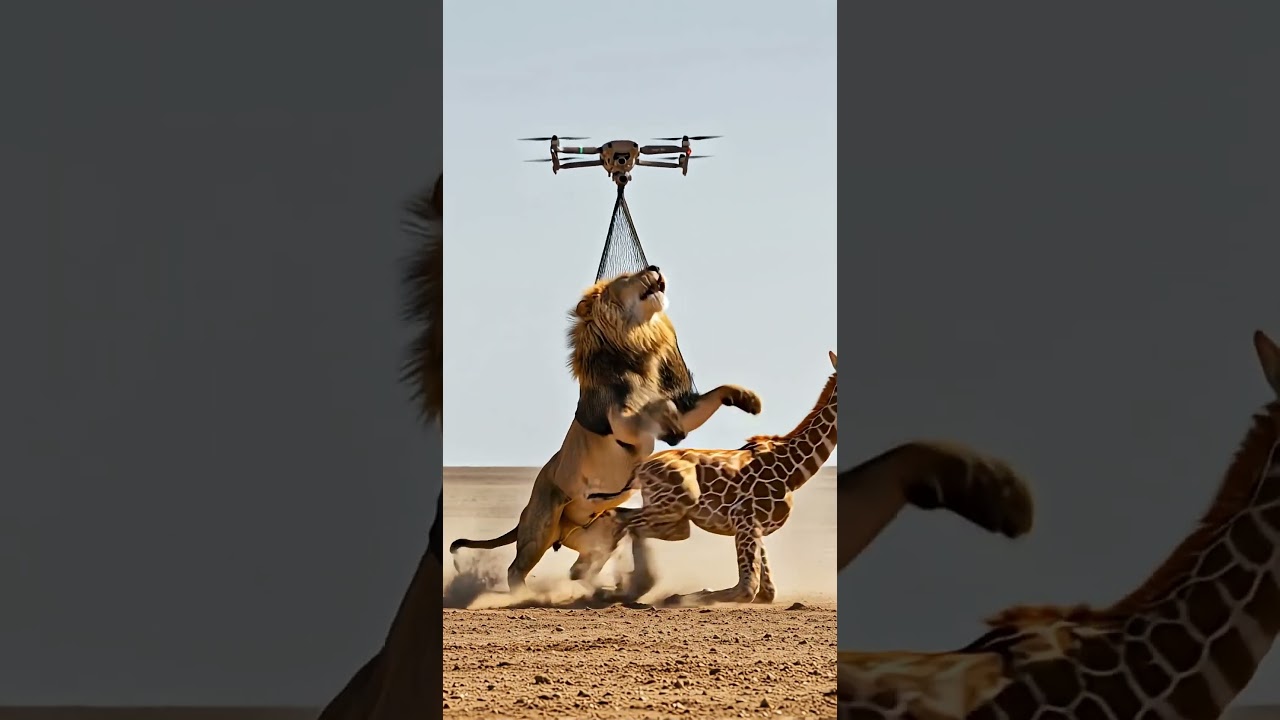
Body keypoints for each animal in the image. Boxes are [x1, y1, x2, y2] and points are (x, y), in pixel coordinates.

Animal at [449, 265, 763, 592]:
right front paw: (671, 423)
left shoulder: (681, 412)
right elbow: (656, 409)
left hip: (599, 531)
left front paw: (748, 399)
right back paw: (524, 594)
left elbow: (713, 394)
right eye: (625, 278)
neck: (636, 349)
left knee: (578, 568)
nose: (654, 268)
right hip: (541, 527)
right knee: (515, 569)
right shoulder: (621, 424)